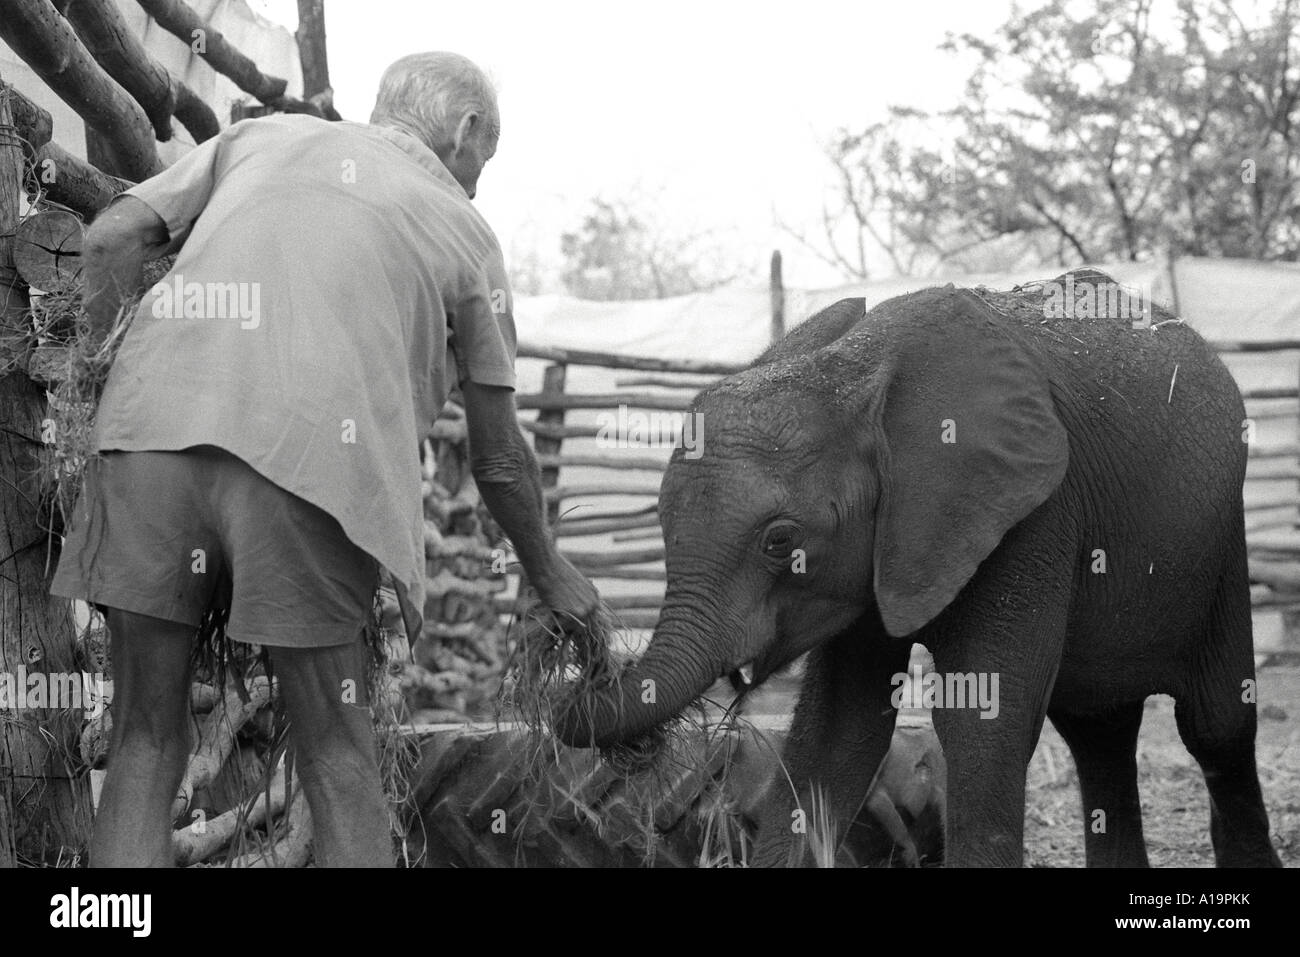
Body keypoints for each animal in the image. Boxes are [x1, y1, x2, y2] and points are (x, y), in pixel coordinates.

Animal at [559, 274, 1279, 868]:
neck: (849, 366)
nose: (577, 642)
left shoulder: (1032, 512)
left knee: (1215, 725)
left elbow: (983, 719)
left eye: (781, 540)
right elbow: (835, 732)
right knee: (1097, 730)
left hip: (1223, 539)